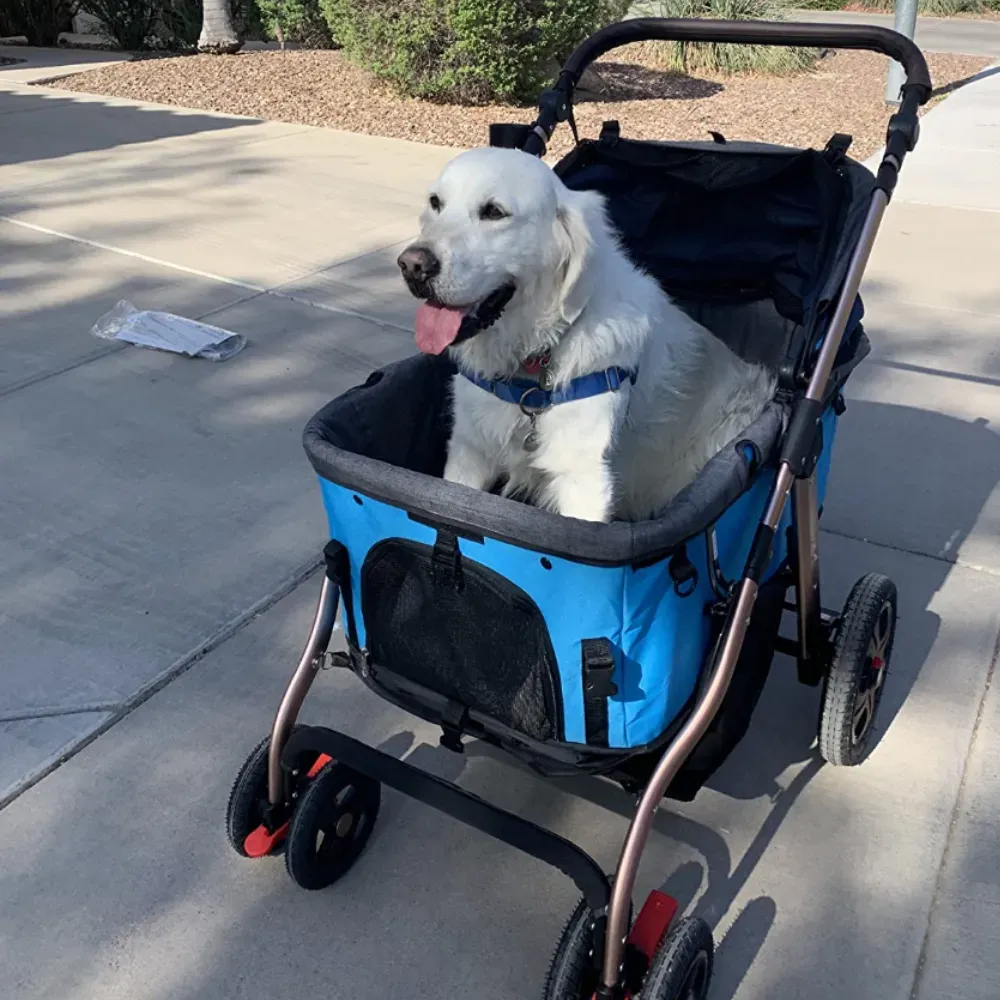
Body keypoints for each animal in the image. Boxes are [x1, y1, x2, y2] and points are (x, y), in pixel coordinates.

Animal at [396, 150, 772, 524]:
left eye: (494, 212)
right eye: (435, 202)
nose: (412, 265)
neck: (536, 360)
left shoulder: (584, 478)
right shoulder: (469, 452)